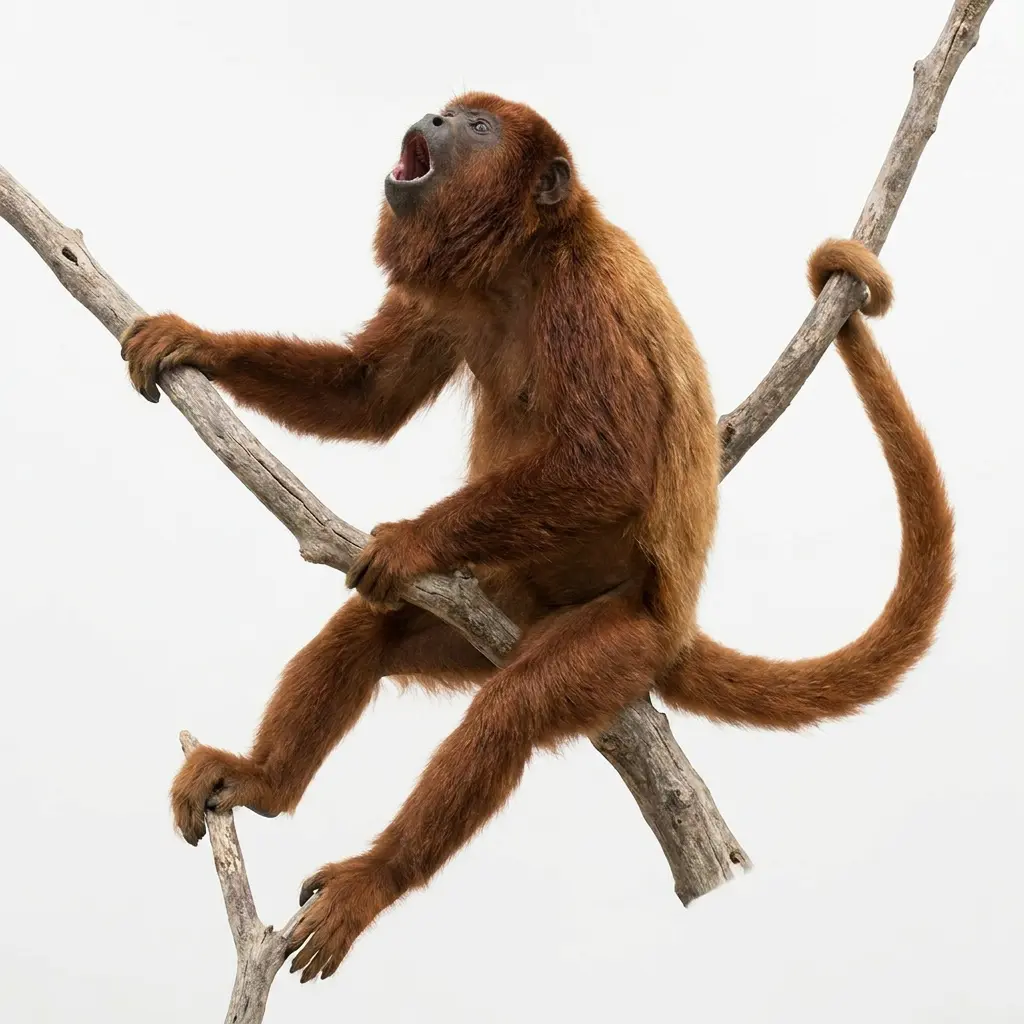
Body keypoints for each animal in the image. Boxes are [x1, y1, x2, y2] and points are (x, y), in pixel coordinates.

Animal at [120, 94, 953, 982]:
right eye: (454, 111)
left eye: (479, 128)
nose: (434, 116)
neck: (519, 261)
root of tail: (677, 627)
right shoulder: (446, 299)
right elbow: (367, 394)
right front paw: (195, 342)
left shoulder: (583, 295)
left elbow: (610, 466)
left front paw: (410, 542)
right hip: (495, 609)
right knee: (371, 630)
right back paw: (263, 783)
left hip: (623, 641)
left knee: (511, 707)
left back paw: (374, 879)